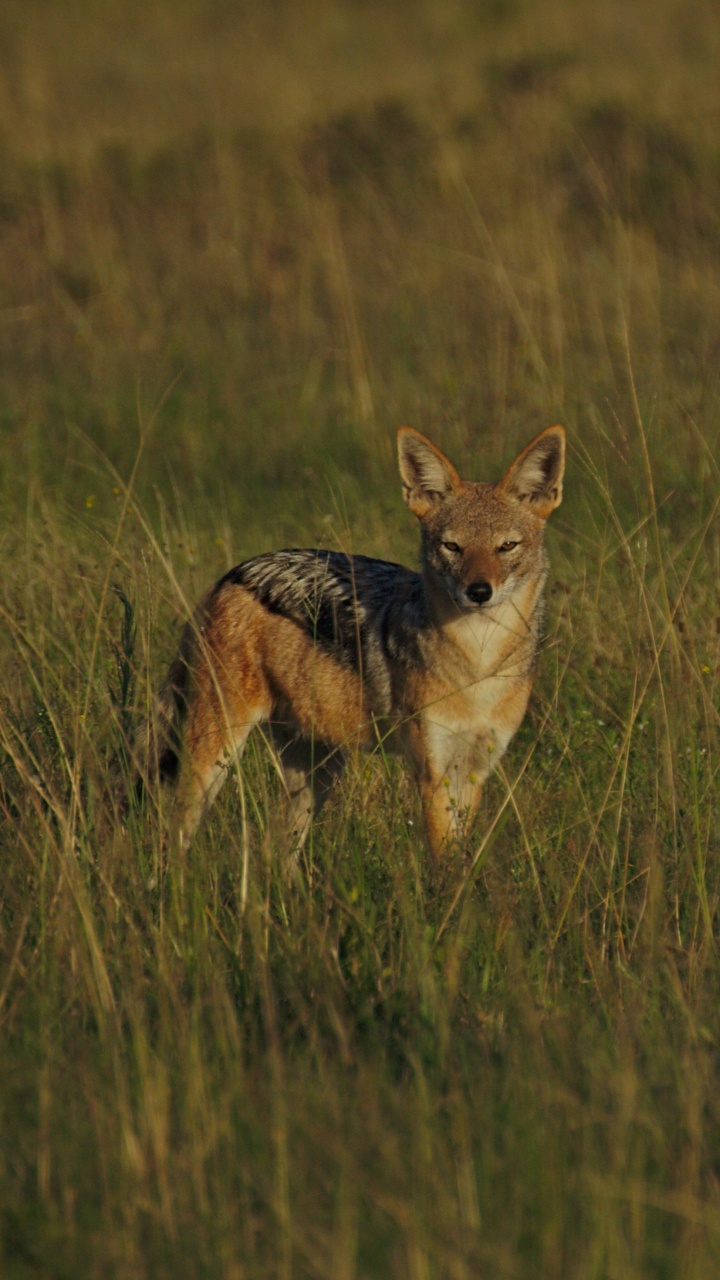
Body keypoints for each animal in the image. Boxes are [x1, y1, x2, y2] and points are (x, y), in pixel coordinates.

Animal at [143, 424, 565, 860]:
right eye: (452, 546)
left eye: (507, 546)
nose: (479, 591)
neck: (479, 664)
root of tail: (233, 575)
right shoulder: (434, 774)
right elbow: (444, 862)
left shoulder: (475, 771)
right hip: (215, 754)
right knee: (174, 835)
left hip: (316, 774)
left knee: (274, 854)